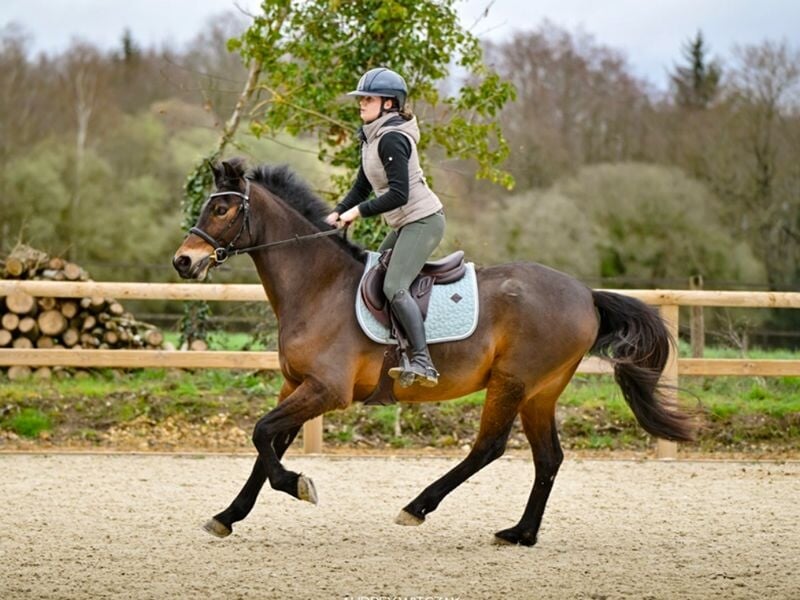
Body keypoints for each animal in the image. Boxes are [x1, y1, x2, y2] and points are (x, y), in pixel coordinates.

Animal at [172, 159, 694, 546]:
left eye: (223, 209)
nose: (184, 261)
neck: (318, 286)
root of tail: (586, 293)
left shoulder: (326, 390)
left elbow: (263, 436)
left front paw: (300, 485)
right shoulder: (296, 385)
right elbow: (266, 447)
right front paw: (228, 516)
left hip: (512, 382)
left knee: (489, 447)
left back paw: (418, 507)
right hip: (540, 392)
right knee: (548, 458)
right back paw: (520, 533)